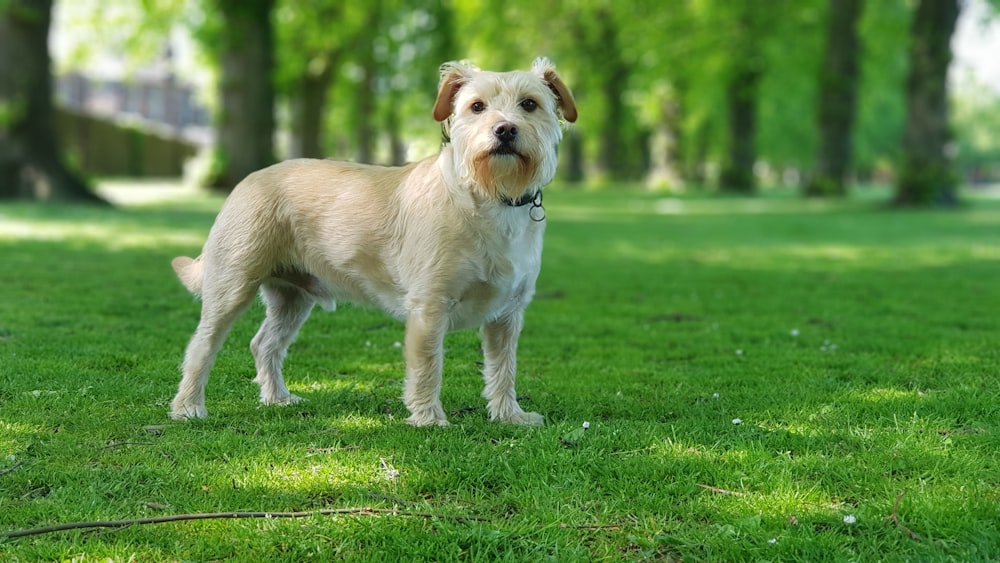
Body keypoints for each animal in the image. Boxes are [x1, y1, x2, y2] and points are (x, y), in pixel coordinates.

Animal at [170, 57, 580, 428]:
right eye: (477, 106)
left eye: (530, 104)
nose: (505, 130)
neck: (488, 198)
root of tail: (248, 180)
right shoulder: (429, 307)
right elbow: (428, 368)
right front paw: (428, 419)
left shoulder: (507, 315)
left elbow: (503, 369)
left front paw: (509, 415)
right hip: (232, 287)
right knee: (200, 346)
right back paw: (188, 407)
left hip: (293, 298)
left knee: (264, 344)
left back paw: (277, 398)